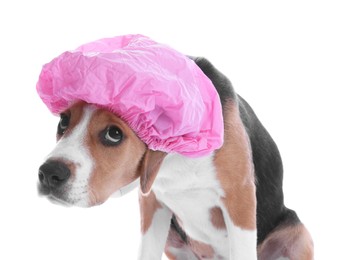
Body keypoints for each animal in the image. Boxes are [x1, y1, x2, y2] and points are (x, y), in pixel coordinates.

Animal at [37, 55, 312, 258]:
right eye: (64, 121)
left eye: (114, 134)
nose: (49, 174)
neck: (176, 158)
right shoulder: (151, 204)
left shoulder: (240, 197)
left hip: (299, 234)